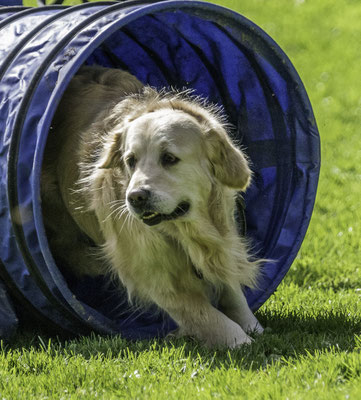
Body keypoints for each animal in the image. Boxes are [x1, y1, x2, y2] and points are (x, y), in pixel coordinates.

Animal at [41, 65, 262, 346]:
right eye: (130, 160)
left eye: (169, 158)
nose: (135, 197)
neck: (184, 231)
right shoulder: (155, 276)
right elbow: (208, 316)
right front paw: (241, 340)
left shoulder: (222, 236)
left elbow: (232, 289)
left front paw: (253, 325)